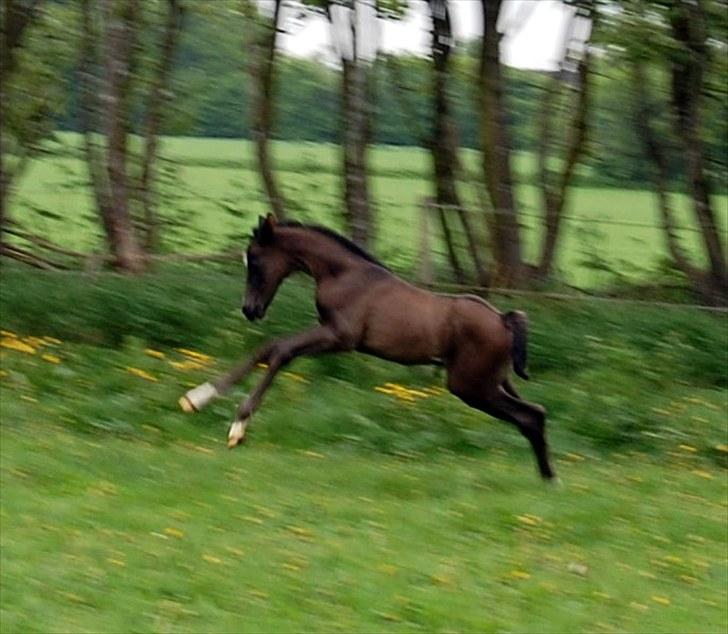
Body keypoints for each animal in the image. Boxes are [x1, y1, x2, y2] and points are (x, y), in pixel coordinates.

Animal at [179, 215, 556, 476]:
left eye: (254, 260)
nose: (250, 309)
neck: (344, 274)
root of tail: (504, 320)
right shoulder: (331, 334)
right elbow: (267, 349)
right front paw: (197, 397)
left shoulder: (339, 337)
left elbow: (281, 351)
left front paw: (237, 427)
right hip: (493, 381)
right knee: (533, 415)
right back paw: (547, 481)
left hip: (471, 385)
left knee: (531, 415)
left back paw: (548, 482)